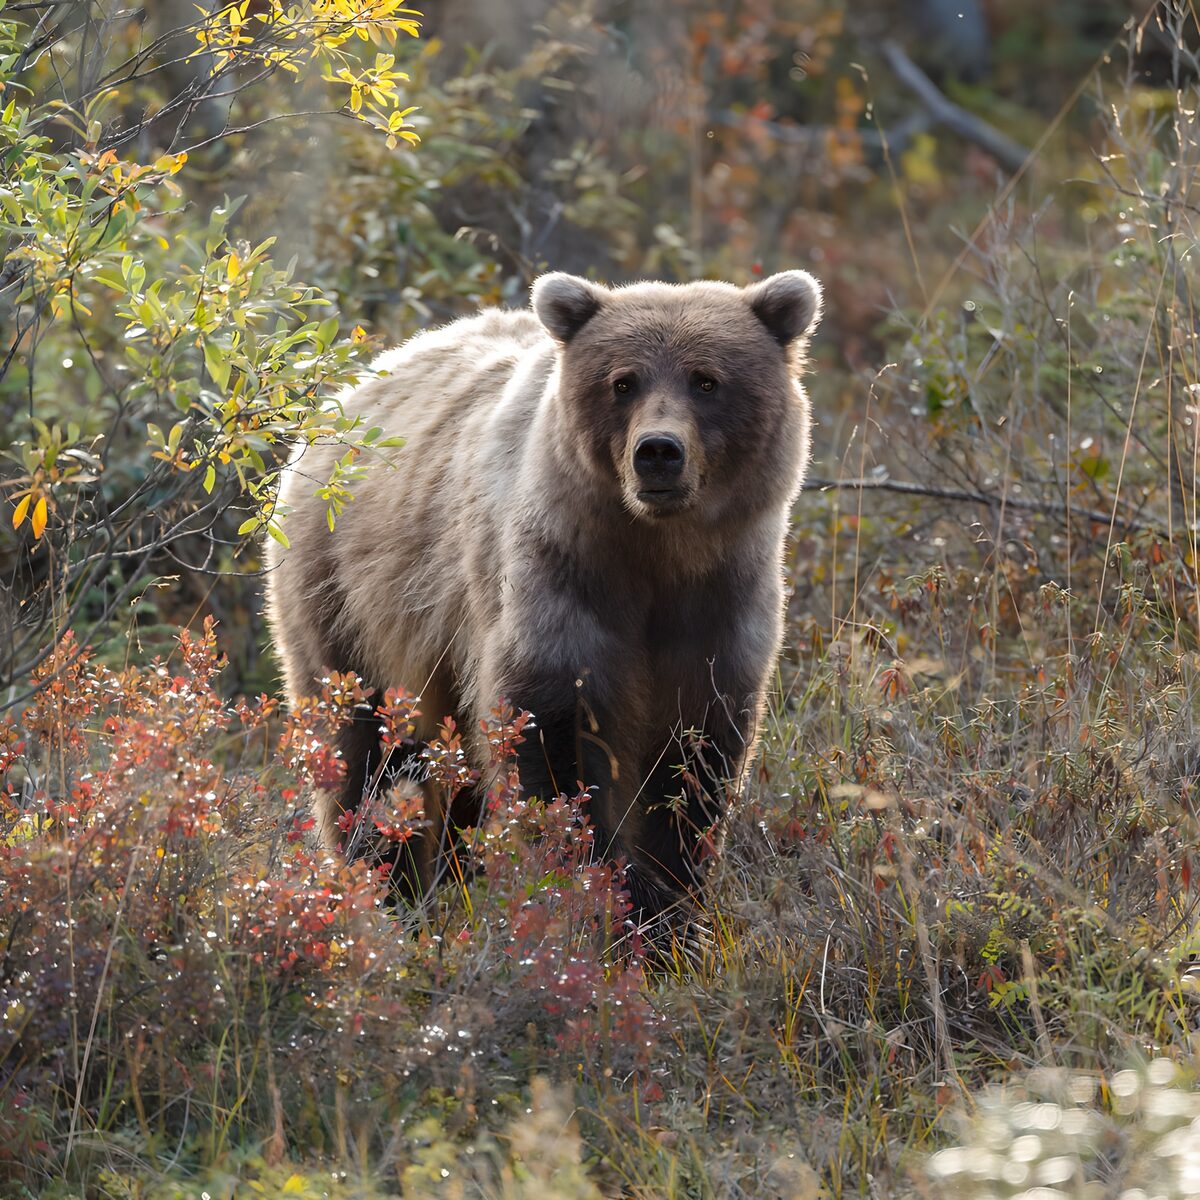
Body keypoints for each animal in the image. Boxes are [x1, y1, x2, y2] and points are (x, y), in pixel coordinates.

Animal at [265, 269, 822, 930]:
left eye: (706, 379)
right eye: (623, 381)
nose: (658, 451)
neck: (653, 553)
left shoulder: (720, 605)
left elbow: (694, 766)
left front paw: (669, 913)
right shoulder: (556, 585)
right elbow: (552, 750)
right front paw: (588, 897)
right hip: (343, 596)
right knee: (361, 754)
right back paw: (385, 895)